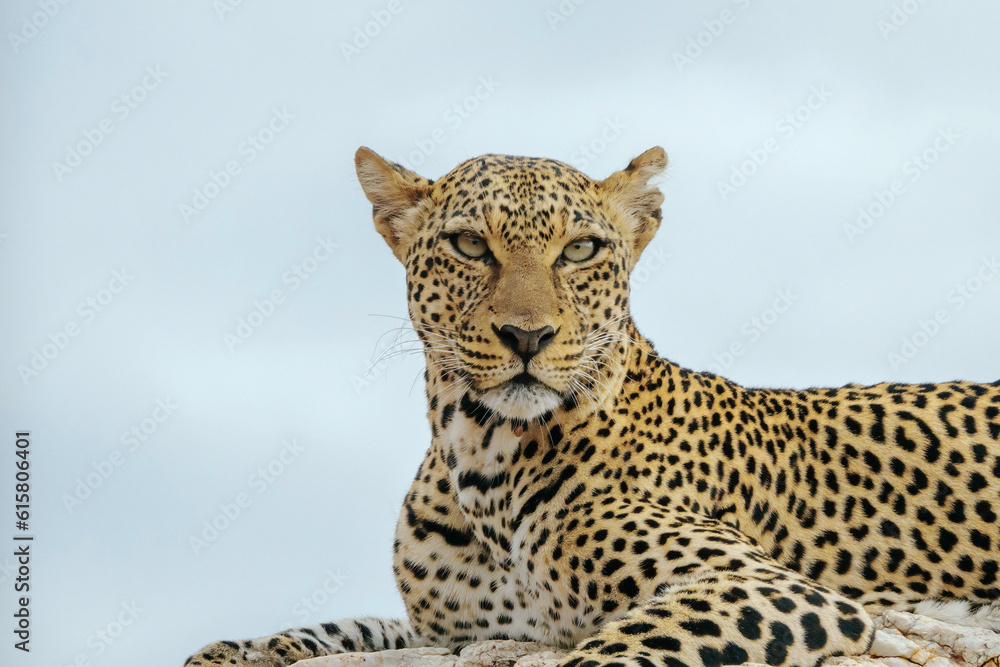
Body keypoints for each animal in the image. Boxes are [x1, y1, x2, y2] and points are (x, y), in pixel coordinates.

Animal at [183, 146, 1000, 667]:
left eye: (580, 251)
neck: (480, 458)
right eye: (468, 245)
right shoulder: (448, 628)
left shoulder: (764, 586)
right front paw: (247, 646)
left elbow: (609, 652)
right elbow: (355, 623)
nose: (527, 336)